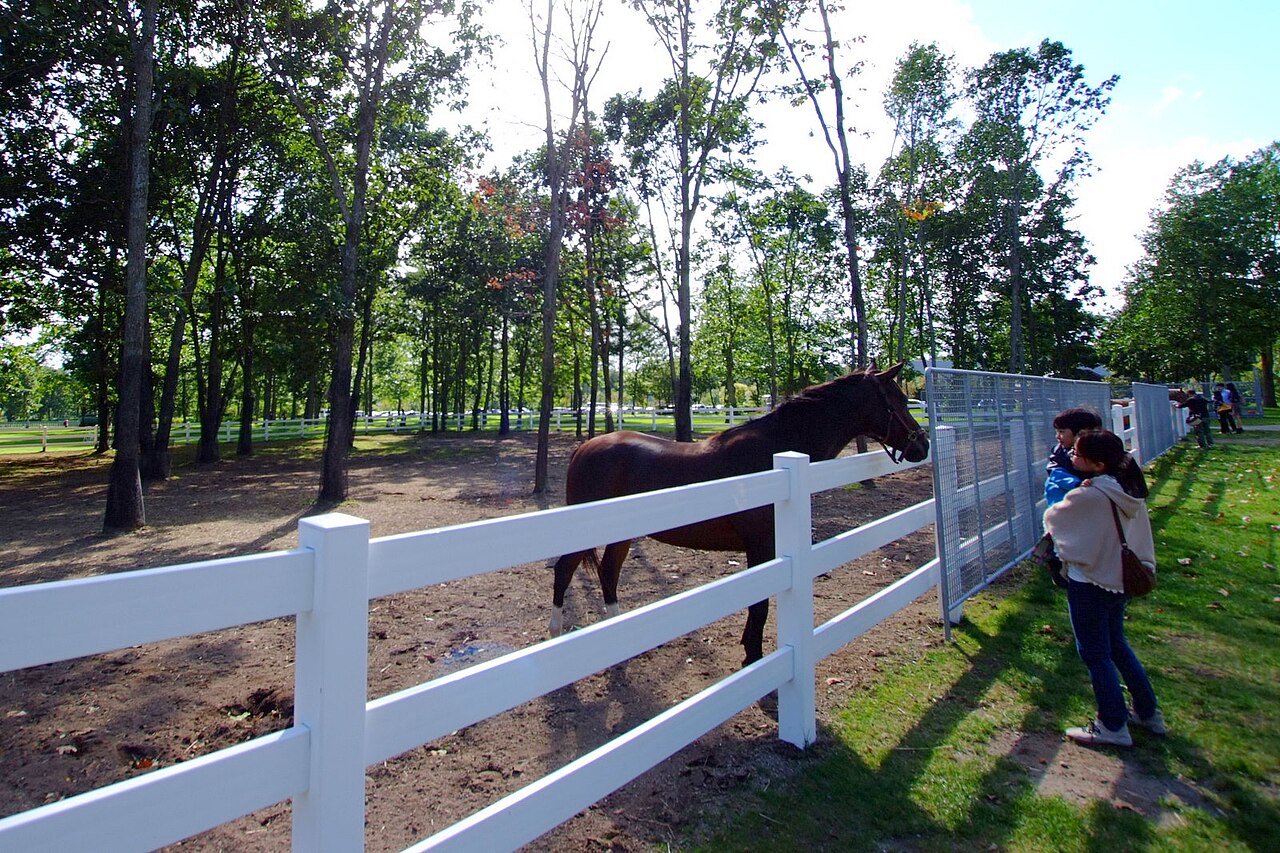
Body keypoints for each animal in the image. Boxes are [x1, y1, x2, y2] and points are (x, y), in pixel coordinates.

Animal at [549, 362, 930, 666]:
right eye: (897, 400)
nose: (922, 444)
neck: (776, 456)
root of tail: (585, 446)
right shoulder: (760, 546)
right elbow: (759, 605)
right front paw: (754, 655)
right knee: (565, 569)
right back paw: (556, 633)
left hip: (621, 535)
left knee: (609, 573)